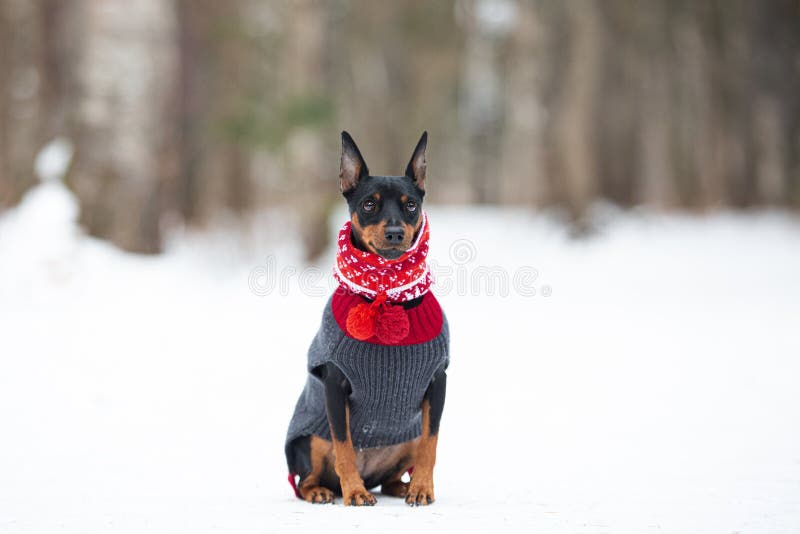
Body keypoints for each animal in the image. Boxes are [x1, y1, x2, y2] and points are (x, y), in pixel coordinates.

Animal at [286, 132, 450, 508]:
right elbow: (345, 446)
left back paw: (403, 486)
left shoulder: (438, 382)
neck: (386, 294)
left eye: (410, 205)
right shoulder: (335, 384)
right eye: (369, 205)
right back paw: (326, 491)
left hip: (406, 437)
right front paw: (355, 493)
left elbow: (431, 444)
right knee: (305, 479)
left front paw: (423, 488)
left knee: (392, 475)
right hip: (310, 441)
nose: (394, 233)